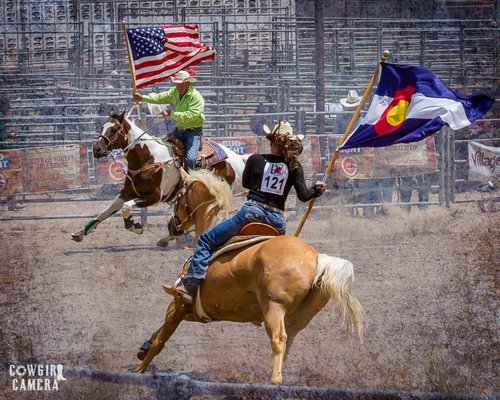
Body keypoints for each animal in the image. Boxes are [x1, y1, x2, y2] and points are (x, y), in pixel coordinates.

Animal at [70, 110, 244, 244]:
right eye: (102, 127)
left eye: (114, 129)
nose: (97, 149)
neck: (148, 159)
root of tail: (236, 158)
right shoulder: (127, 192)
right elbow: (106, 212)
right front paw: (80, 232)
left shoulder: (154, 197)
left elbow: (126, 207)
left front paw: (135, 226)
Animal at [135, 234, 366, 384]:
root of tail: (317, 258)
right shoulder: (190, 312)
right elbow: (159, 331)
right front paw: (143, 349)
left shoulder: (179, 304)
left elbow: (161, 339)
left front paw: (139, 370)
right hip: (297, 318)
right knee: (288, 342)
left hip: (274, 308)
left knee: (279, 339)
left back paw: (273, 380)